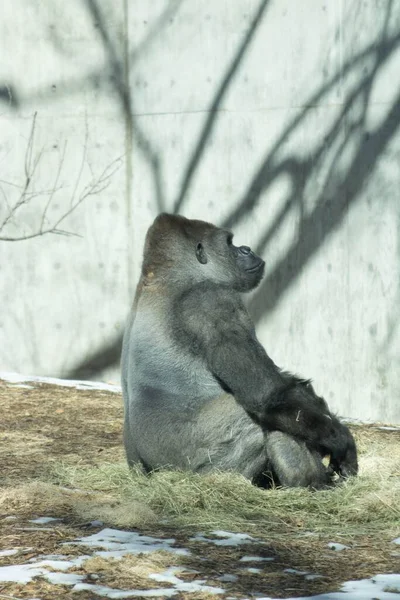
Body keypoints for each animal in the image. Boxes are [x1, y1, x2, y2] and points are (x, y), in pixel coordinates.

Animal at [120, 213, 358, 490]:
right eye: (230, 243)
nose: (247, 248)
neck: (163, 277)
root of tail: (150, 477)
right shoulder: (214, 301)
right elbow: (270, 396)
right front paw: (340, 440)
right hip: (201, 471)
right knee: (261, 419)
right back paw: (310, 483)